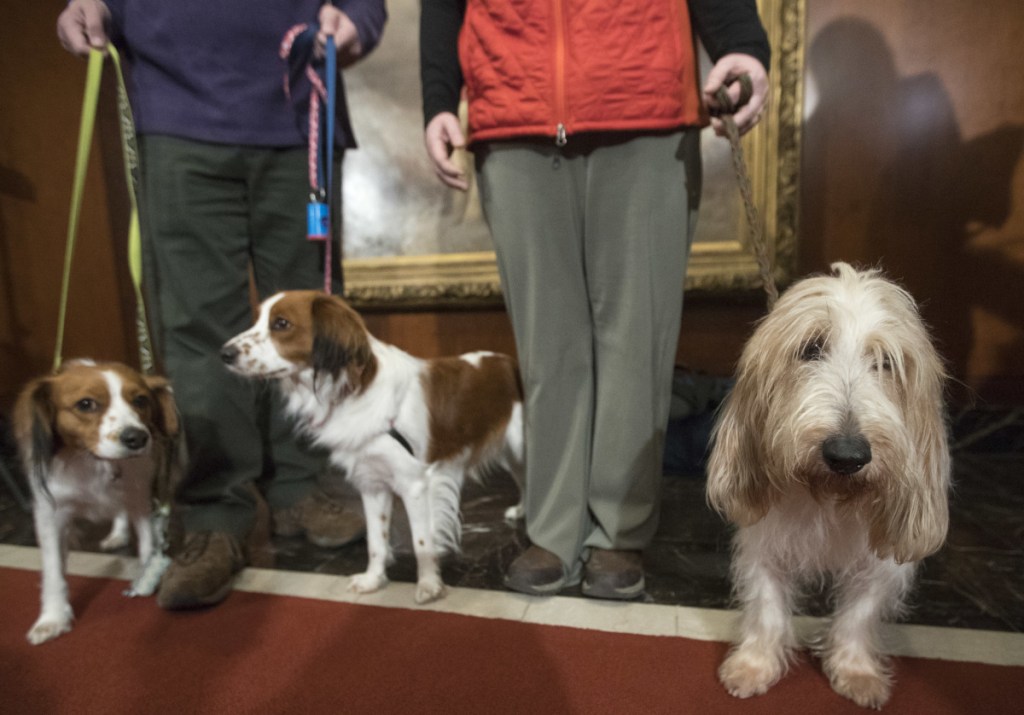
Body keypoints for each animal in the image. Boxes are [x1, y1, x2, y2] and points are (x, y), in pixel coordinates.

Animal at [13, 358, 182, 643]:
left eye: (141, 400)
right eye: (86, 404)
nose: (137, 438)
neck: (94, 462)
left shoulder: (140, 496)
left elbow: (148, 543)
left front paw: (147, 577)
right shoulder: (50, 516)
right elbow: (53, 570)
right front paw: (52, 618)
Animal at [225, 288, 528, 602]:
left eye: (281, 324)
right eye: (257, 319)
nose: (225, 353)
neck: (355, 390)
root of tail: (509, 363)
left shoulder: (414, 484)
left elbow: (422, 542)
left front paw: (429, 585)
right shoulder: (372, 483)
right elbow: (375, 540)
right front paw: (373, 579)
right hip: (512, 455)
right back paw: (522, 512)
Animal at [708, 262, 946, 708]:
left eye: (886, 362)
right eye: (810, 349)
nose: (847, 455)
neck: (831, 497)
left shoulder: (881, 566)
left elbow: (858, 614)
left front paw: (857, 671)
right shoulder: (764, 544)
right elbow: (767, 607)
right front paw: (754, 665)